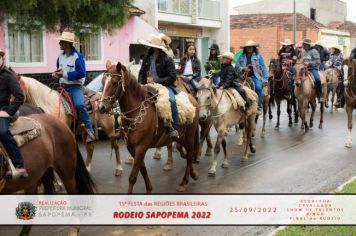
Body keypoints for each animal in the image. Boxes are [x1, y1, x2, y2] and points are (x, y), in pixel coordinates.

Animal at [98, 60, 200, 193]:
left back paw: (184, 182)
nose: (101, 107)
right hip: (181, 136)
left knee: (190, 154)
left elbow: (133, 176)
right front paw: (149, 189)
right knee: (188, 154)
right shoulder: (132, 147)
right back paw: (193, 174)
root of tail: (192, 99)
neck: (136, 112)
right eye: (102, 82)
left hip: (190, 134)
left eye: (115, 83)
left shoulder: (141, 147)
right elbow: (142, 169)